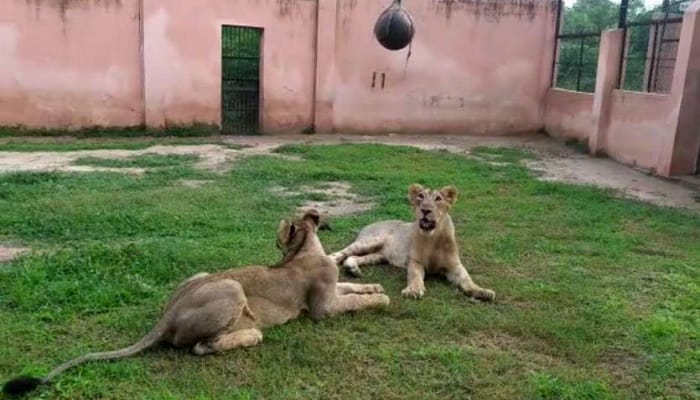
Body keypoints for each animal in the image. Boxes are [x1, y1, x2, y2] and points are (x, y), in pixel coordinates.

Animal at [3, 209, 389, 397]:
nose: (274, 244)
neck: (304, 250)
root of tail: (167, 315)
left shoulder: (331, 292)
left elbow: (352, 290)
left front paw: (373, 286)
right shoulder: (321, 309)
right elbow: (352, 302)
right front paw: (382, 297)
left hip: (202, 275)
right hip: (231, 287)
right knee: (202, 347)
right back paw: (251, 335)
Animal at [329, 184, 495, 302]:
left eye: (438, 199)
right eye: (420, 196)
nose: (425, 210)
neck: (433, 238)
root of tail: (368, 225)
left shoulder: (454, 265)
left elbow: (467, 279)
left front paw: (483, 291)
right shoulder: (415, 261)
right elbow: (415, 277)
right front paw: (413, 291)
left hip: (378, 255)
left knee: (354, 258)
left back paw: (354, 269)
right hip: (370, 241)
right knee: (343, 252)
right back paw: (334, 261)